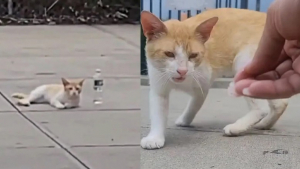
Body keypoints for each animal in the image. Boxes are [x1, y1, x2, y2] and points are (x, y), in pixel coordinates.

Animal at [141, 8, 288, 150]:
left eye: (193, 55)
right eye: (169, 54)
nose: (182, 71)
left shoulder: (203, 85)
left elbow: (194, 105)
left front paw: (184, 119)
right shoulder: (159, 88)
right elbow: (158, 113)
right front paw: (155, 137)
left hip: (244, 62)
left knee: (262, 108)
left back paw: (237, 127)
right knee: (280, 102)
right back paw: (265, 124)